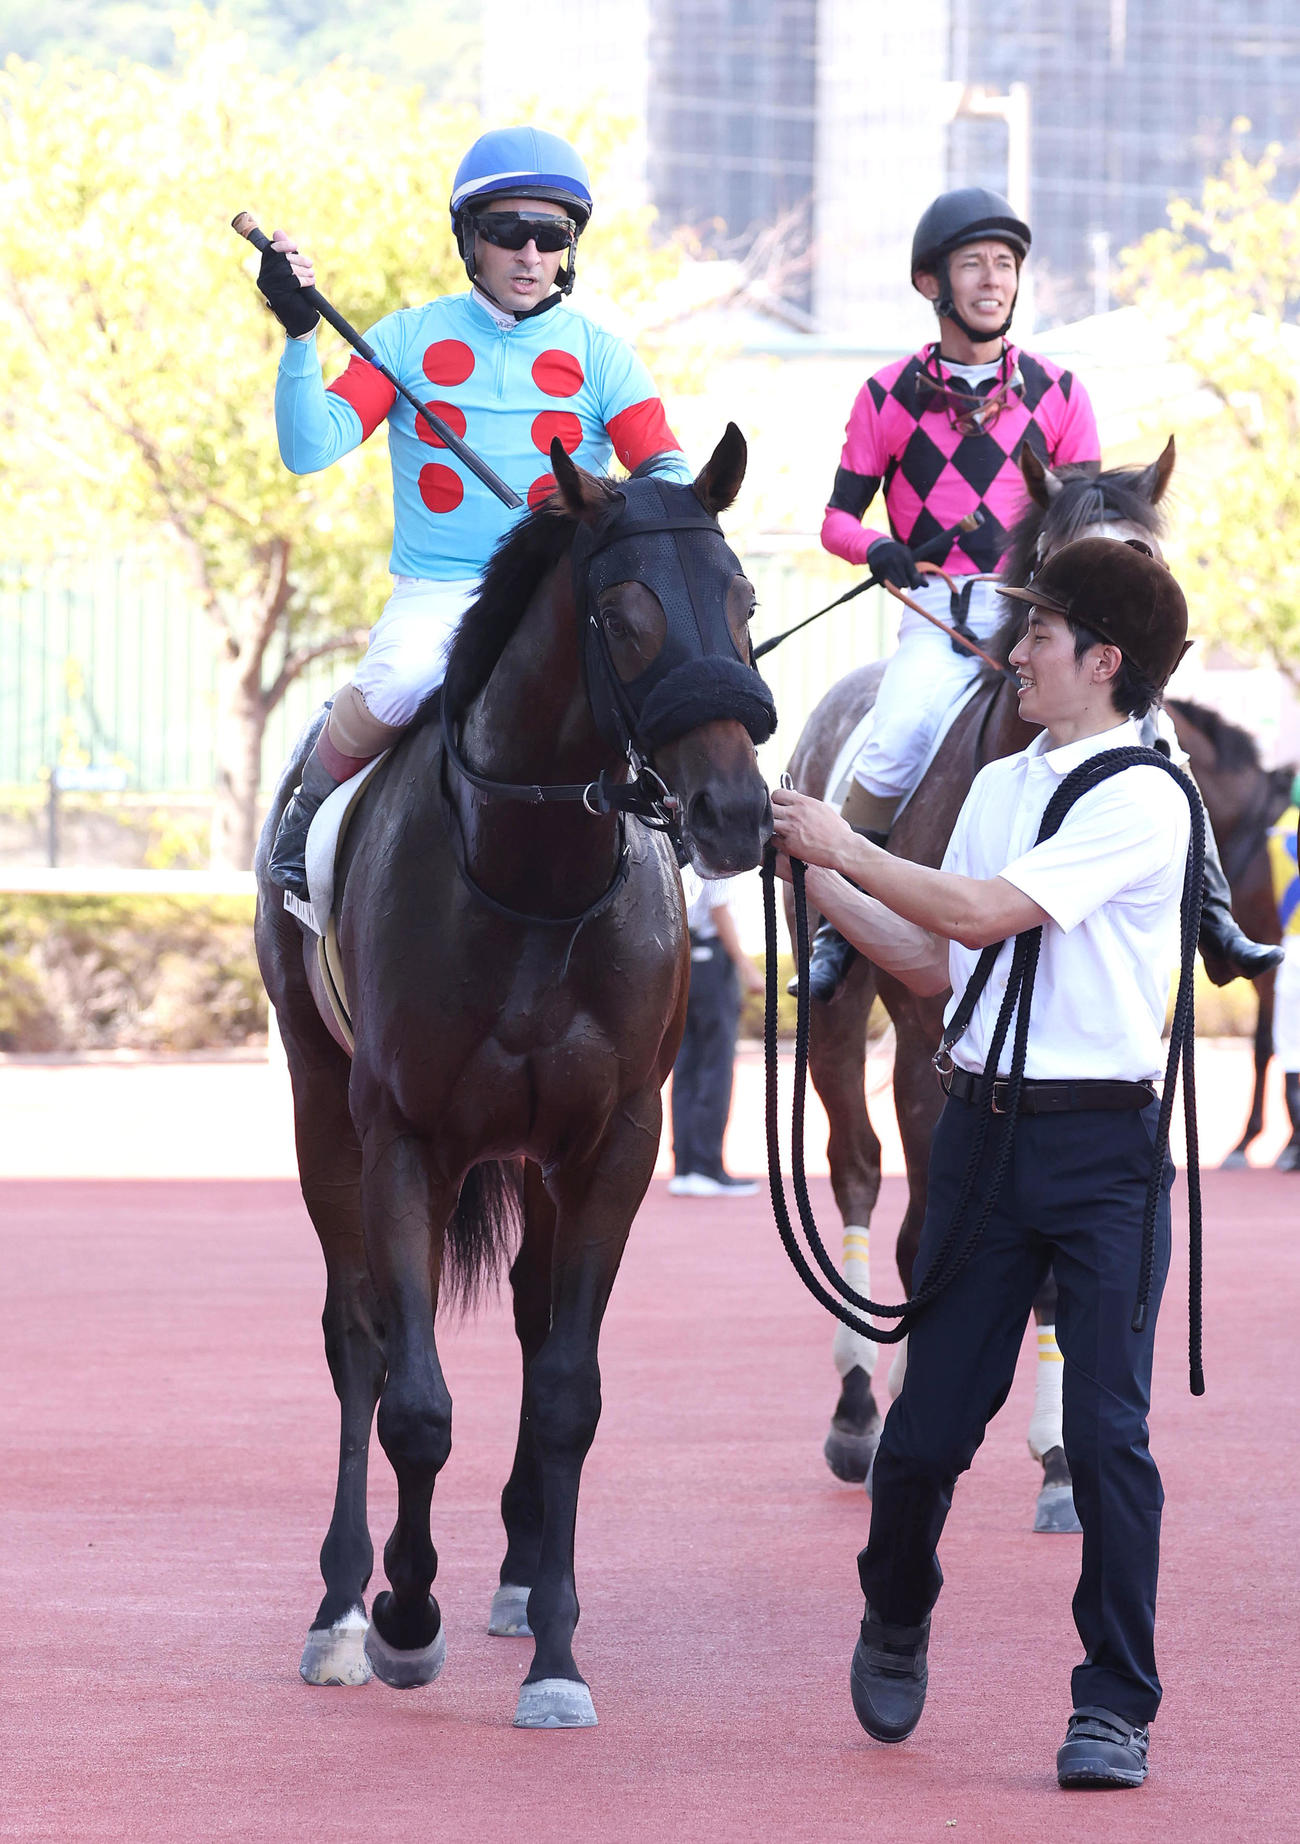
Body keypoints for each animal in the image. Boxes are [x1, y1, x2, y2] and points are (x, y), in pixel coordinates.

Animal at [254, 427, 773, 1728]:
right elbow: (414, 1396)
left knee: (537, 1331)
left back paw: (519, 1573)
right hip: (318, 1099)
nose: (733, 809)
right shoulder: (402, 1137)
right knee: (358, 1337)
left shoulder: (611, 1143)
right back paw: (344, 1606)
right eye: (626, 613)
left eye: (742, 600)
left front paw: (555, 1651)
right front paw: (402, 1612)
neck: (532, 881)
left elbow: (568, 1392)